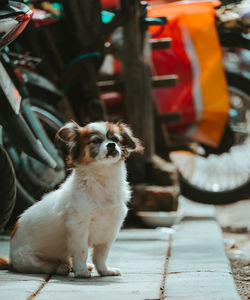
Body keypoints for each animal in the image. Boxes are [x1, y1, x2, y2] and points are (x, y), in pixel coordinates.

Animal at [0, 120, 144, 278]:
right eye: (96, 141)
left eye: (116, 140)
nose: (111, 145)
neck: (102, 180)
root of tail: (11, 261)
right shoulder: (78, 229)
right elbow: (82, 252)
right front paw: (81, 272)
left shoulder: (109, 230)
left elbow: (101, 255)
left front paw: (105, 271)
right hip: (29, 260)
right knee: (52, 266)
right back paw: (64, 268)